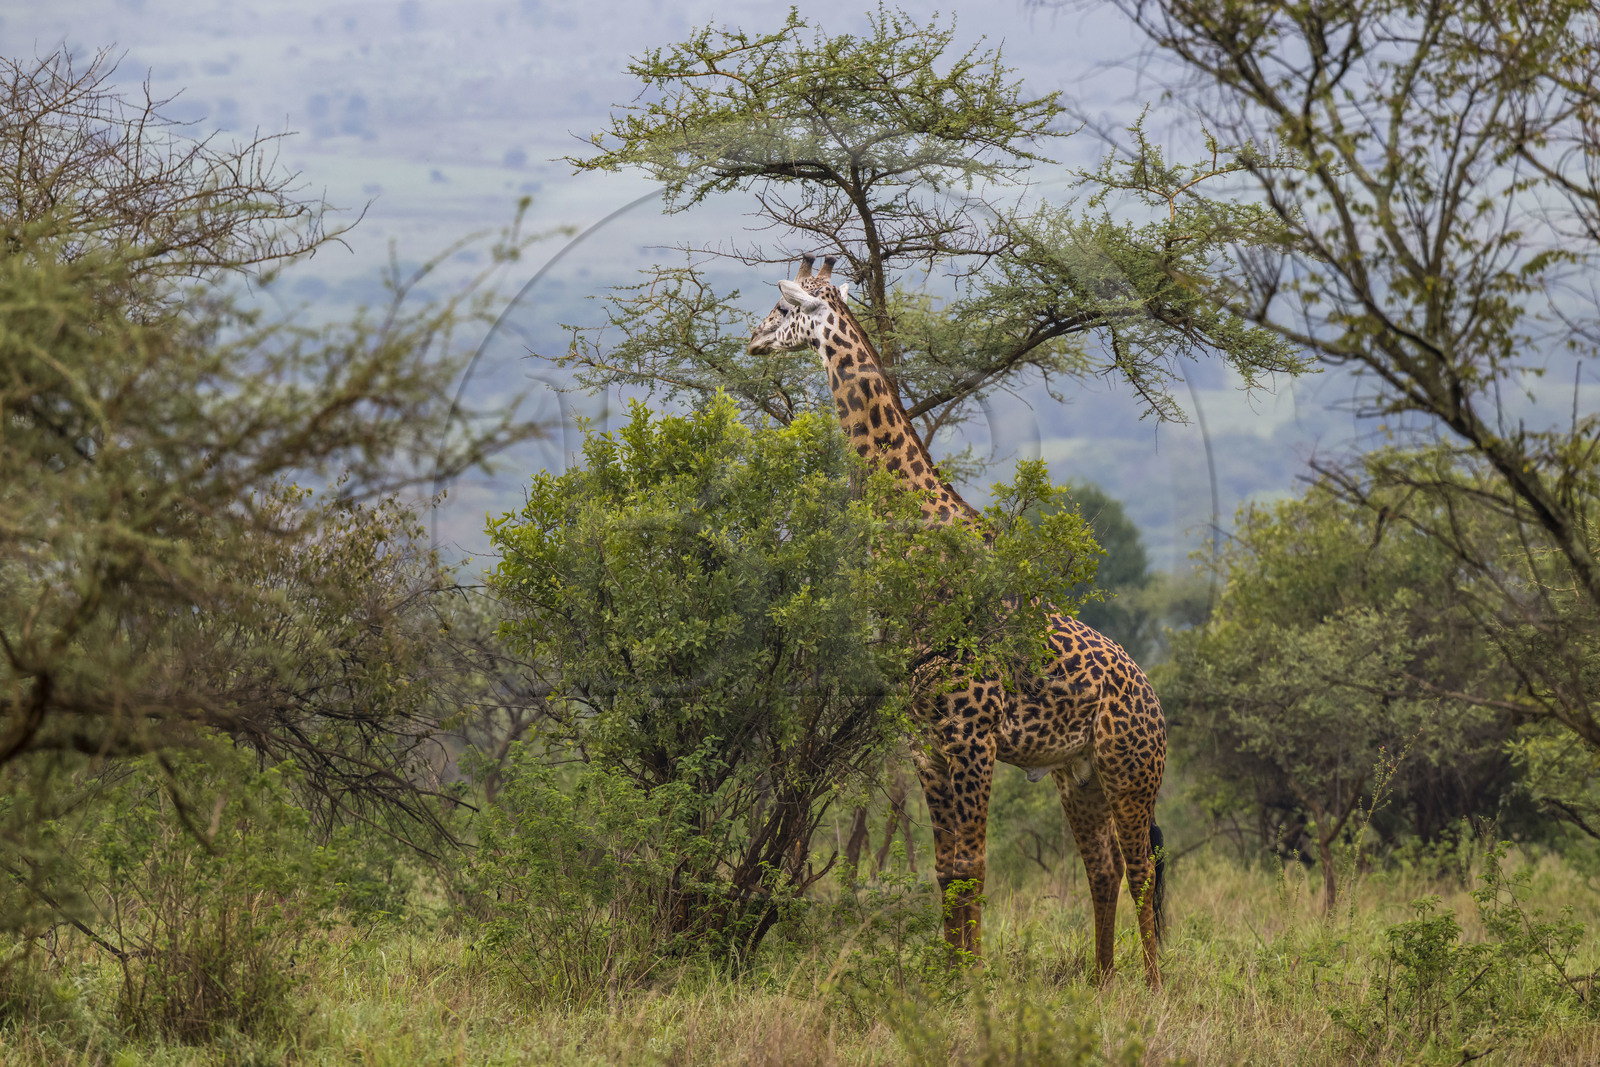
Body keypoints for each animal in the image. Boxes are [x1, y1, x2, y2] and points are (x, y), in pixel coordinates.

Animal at [748, 256, 1168, 988]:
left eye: (783, 308)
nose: (751, 340)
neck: (915, 530)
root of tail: (1159, 709)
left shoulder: (971, 733)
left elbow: (971, 865)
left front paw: (971, 981)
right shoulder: (927, 737)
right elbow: (948, 870)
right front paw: (951, 975)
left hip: (1130, 770)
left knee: (1143, 867)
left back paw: (1152, 984)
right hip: (1078, 775)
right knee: (1105, 866)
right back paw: (1102, 977)